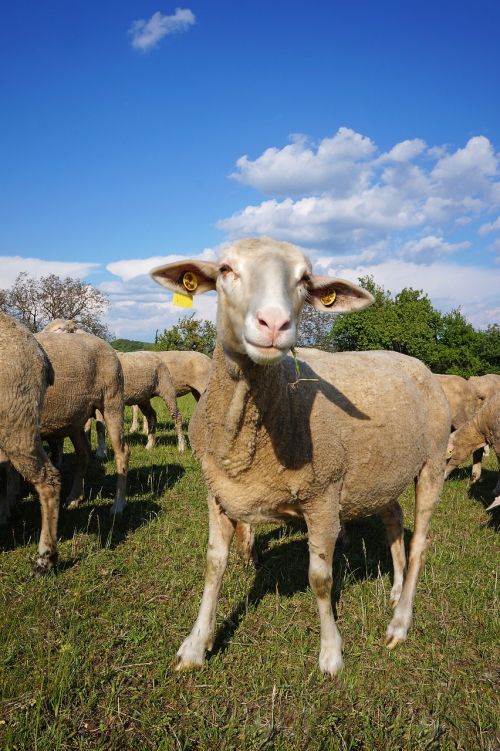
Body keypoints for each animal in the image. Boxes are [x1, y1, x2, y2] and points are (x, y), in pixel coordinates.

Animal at [35, 332, 129, 516]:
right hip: (75, 418)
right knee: (84, 452)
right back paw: (74, 497)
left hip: (112, 400)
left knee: (122, 452)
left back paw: (118, 505)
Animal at [151, 238, 450, 680]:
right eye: (225, 269)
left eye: (305, 279)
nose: (274, 323)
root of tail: (412, 361)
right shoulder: (218, 493)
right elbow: (213, 564)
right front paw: (195, 644)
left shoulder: (322, 497)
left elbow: (320, 578)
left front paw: (331, 653)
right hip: (380, 472)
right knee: (395, 523)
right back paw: (395, 591)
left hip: (432, 463)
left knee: (420, 543)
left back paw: (400, 623)